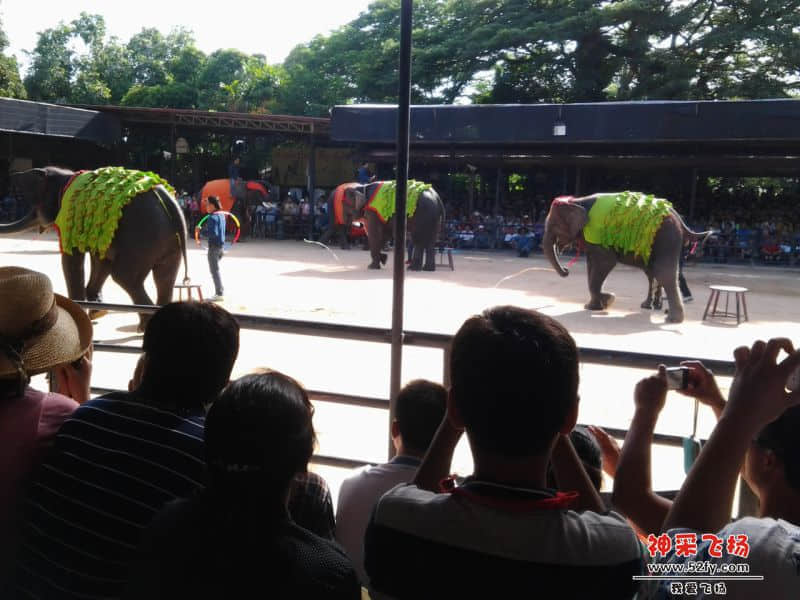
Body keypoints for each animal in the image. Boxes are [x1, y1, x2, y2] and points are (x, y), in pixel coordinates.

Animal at [2, 166, 189, 329]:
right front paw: (98, 313)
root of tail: (168, 200)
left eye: (35, 208)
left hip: (142, 241)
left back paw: (142, 327)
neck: (66, 176)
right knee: (164, 279)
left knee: (124, 277)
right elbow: (101, 261)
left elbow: (72, 260)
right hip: (170, 242)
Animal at [543, 191, 709, 323]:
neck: (577, 201)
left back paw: (672, 319)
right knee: (652, 272)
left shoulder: (597, 232)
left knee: (663, 272)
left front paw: (609, 299)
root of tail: (676, 214)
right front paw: (594, 306)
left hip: (666, 236)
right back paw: (651, 307)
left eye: (554, 226)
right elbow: (591, 265)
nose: (566, 270)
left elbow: (605, 262)